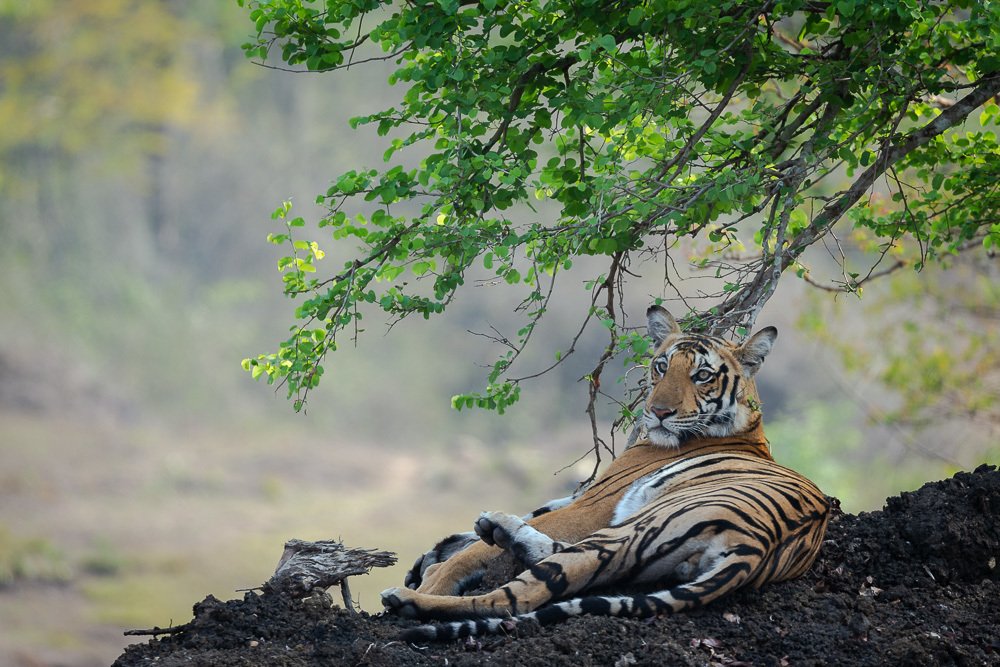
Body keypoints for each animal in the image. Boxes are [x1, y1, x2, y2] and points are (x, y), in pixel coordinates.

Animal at [381, 305, 831, 642]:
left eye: (702, 375)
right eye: (661, 366)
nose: (658, 411)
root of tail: (756, 549)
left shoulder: (596, 502)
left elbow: (477, 551)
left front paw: (435, 574)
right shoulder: (584, 495)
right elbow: (528, 514)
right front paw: (434, 553)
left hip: (635, 525)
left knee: (515, 598)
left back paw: (411, 598)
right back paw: (498, 528)